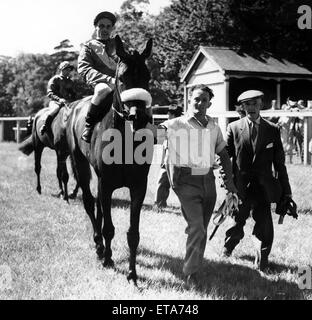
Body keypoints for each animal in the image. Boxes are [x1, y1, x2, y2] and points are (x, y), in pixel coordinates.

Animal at [66, 35, 154, 284]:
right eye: (122, 78)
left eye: (147, 77)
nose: (138, 117)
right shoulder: (106, 184)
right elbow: (108, 228)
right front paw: (107, 258)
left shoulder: (138, 186)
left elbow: (133, 233)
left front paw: (132, 274)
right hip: (80, 164)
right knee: (89, 202)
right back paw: (98, 247)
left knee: (96, 206)